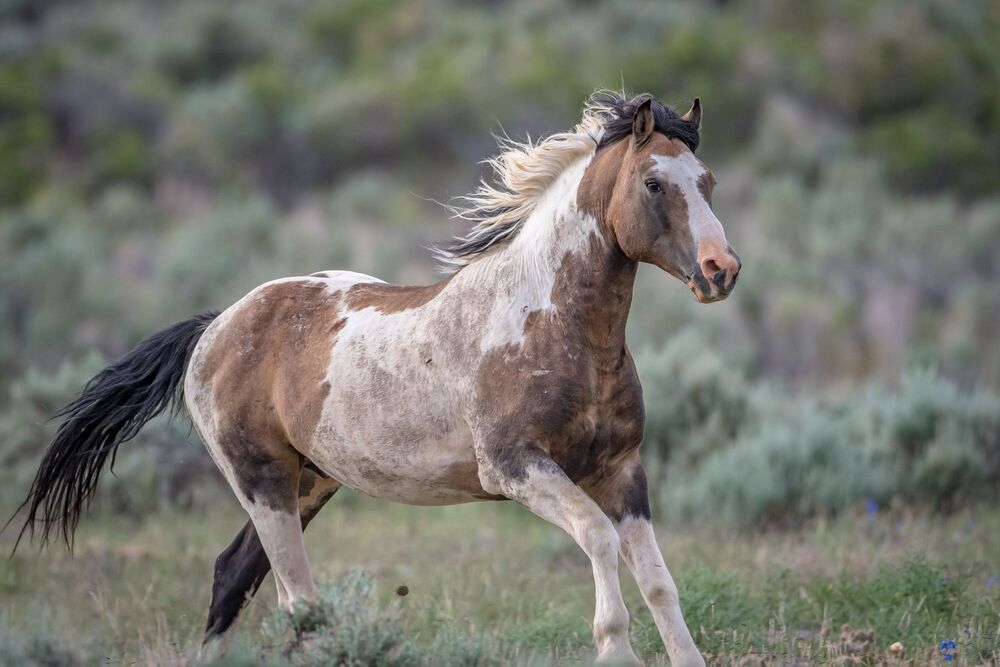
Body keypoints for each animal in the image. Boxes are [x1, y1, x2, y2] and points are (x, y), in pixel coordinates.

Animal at [12, 90, 740, 666]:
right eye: (653, 184)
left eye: (706, 180)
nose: (721, 269)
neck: (551, 324)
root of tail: (216, 325)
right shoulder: (519, 469)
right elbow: (597, 539)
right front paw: (615, 649)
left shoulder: (621, 469)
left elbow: (657, 579)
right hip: (263, 482)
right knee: (296, 601)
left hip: (309, 482)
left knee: (233, 577)